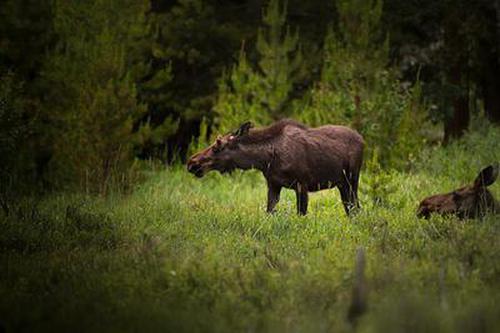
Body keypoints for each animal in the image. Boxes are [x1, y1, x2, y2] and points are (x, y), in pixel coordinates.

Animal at [187, 119, 364, 215]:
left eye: (217, 145)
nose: (192, 163)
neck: (264, 160)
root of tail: (363, 140)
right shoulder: (273, 184)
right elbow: (269, 212)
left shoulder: (302, 184)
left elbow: (301, 214)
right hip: (342, 184)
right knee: (351, 209)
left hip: (352, 179)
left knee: (355, 208)